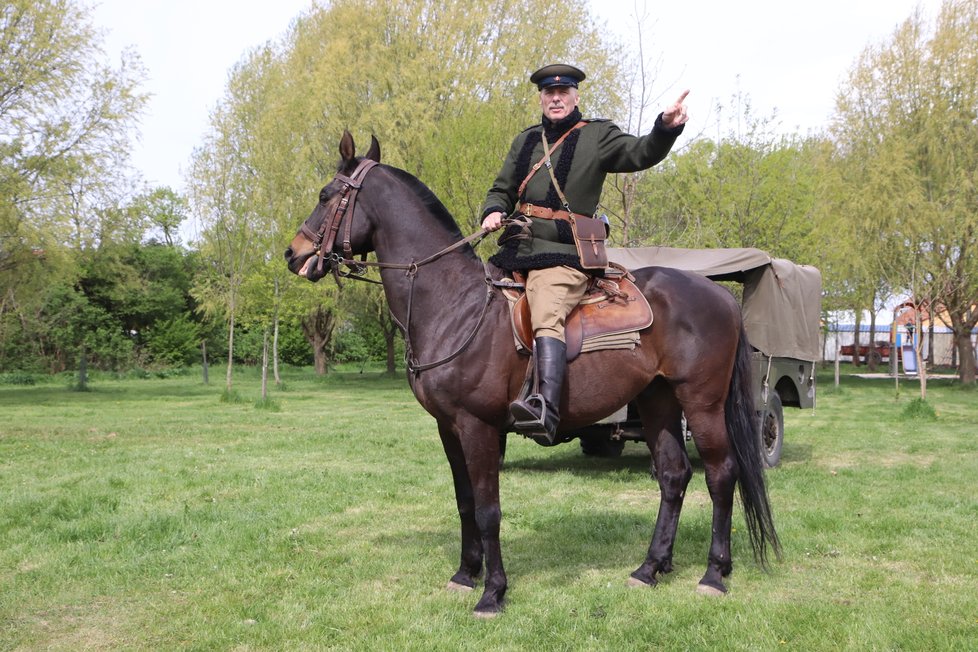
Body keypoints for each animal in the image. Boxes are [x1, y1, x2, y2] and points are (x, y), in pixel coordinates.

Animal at [282, 132, 776, 616]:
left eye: (326, 195)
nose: (294, 253)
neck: (456, 304)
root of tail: (719, 294)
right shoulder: (448, 427)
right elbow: (465, 502)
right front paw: (465, 574)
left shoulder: (478, 427)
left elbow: (488, 510)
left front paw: (492, 593)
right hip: (657, 401)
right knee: (673, 476)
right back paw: (649, 568)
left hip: (702, 404)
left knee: (721, 475)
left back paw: (713, 574)